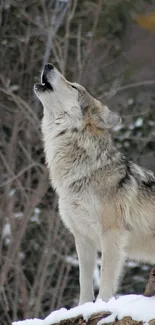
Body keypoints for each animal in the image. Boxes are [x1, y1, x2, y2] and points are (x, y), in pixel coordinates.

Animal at [34, 63, 155, 304]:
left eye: (73, 86)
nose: (48, 64)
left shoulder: (112, 234)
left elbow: (106, 279)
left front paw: (102, 305)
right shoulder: (82, 238)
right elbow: (85, 281)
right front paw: (83, 307)